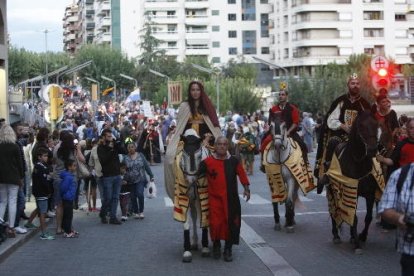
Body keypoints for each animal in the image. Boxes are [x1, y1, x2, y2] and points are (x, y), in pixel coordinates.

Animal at [173, 129, 210, 264]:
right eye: (184, 155)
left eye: (199, 156)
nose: (191, 180)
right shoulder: (183, 196)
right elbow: (186, 222)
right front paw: (187, 251)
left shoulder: (203, 196)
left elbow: (204, 218)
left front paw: (205, 248)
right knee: (193, 216)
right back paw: (193, 242)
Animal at [326, 110, 384, 254]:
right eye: (361, 126)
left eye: (376, 124)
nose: (372, 150)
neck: (359, 163)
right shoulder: (352, 192)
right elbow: (355, 218)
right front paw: (357, 244)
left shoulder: (370, 194)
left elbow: (368, 217)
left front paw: (362, 236)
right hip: (332, 190)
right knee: (333, 210)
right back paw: (336, 235)